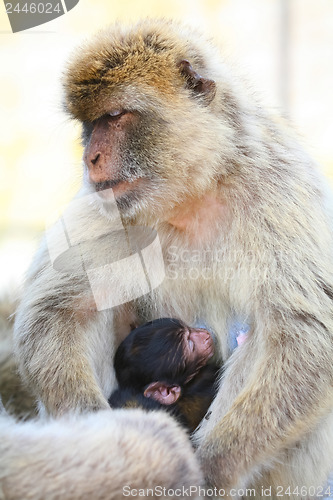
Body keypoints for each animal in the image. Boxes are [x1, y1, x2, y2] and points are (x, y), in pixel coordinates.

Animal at [12, 18, 332, 496]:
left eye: (115, 117)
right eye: (90, 124)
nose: (90, 157)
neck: (193, 192)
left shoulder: (279, 187)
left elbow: (306, 334)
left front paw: (215, 468)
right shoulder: (109, 202)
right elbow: (54, 313)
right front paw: (101, 428)